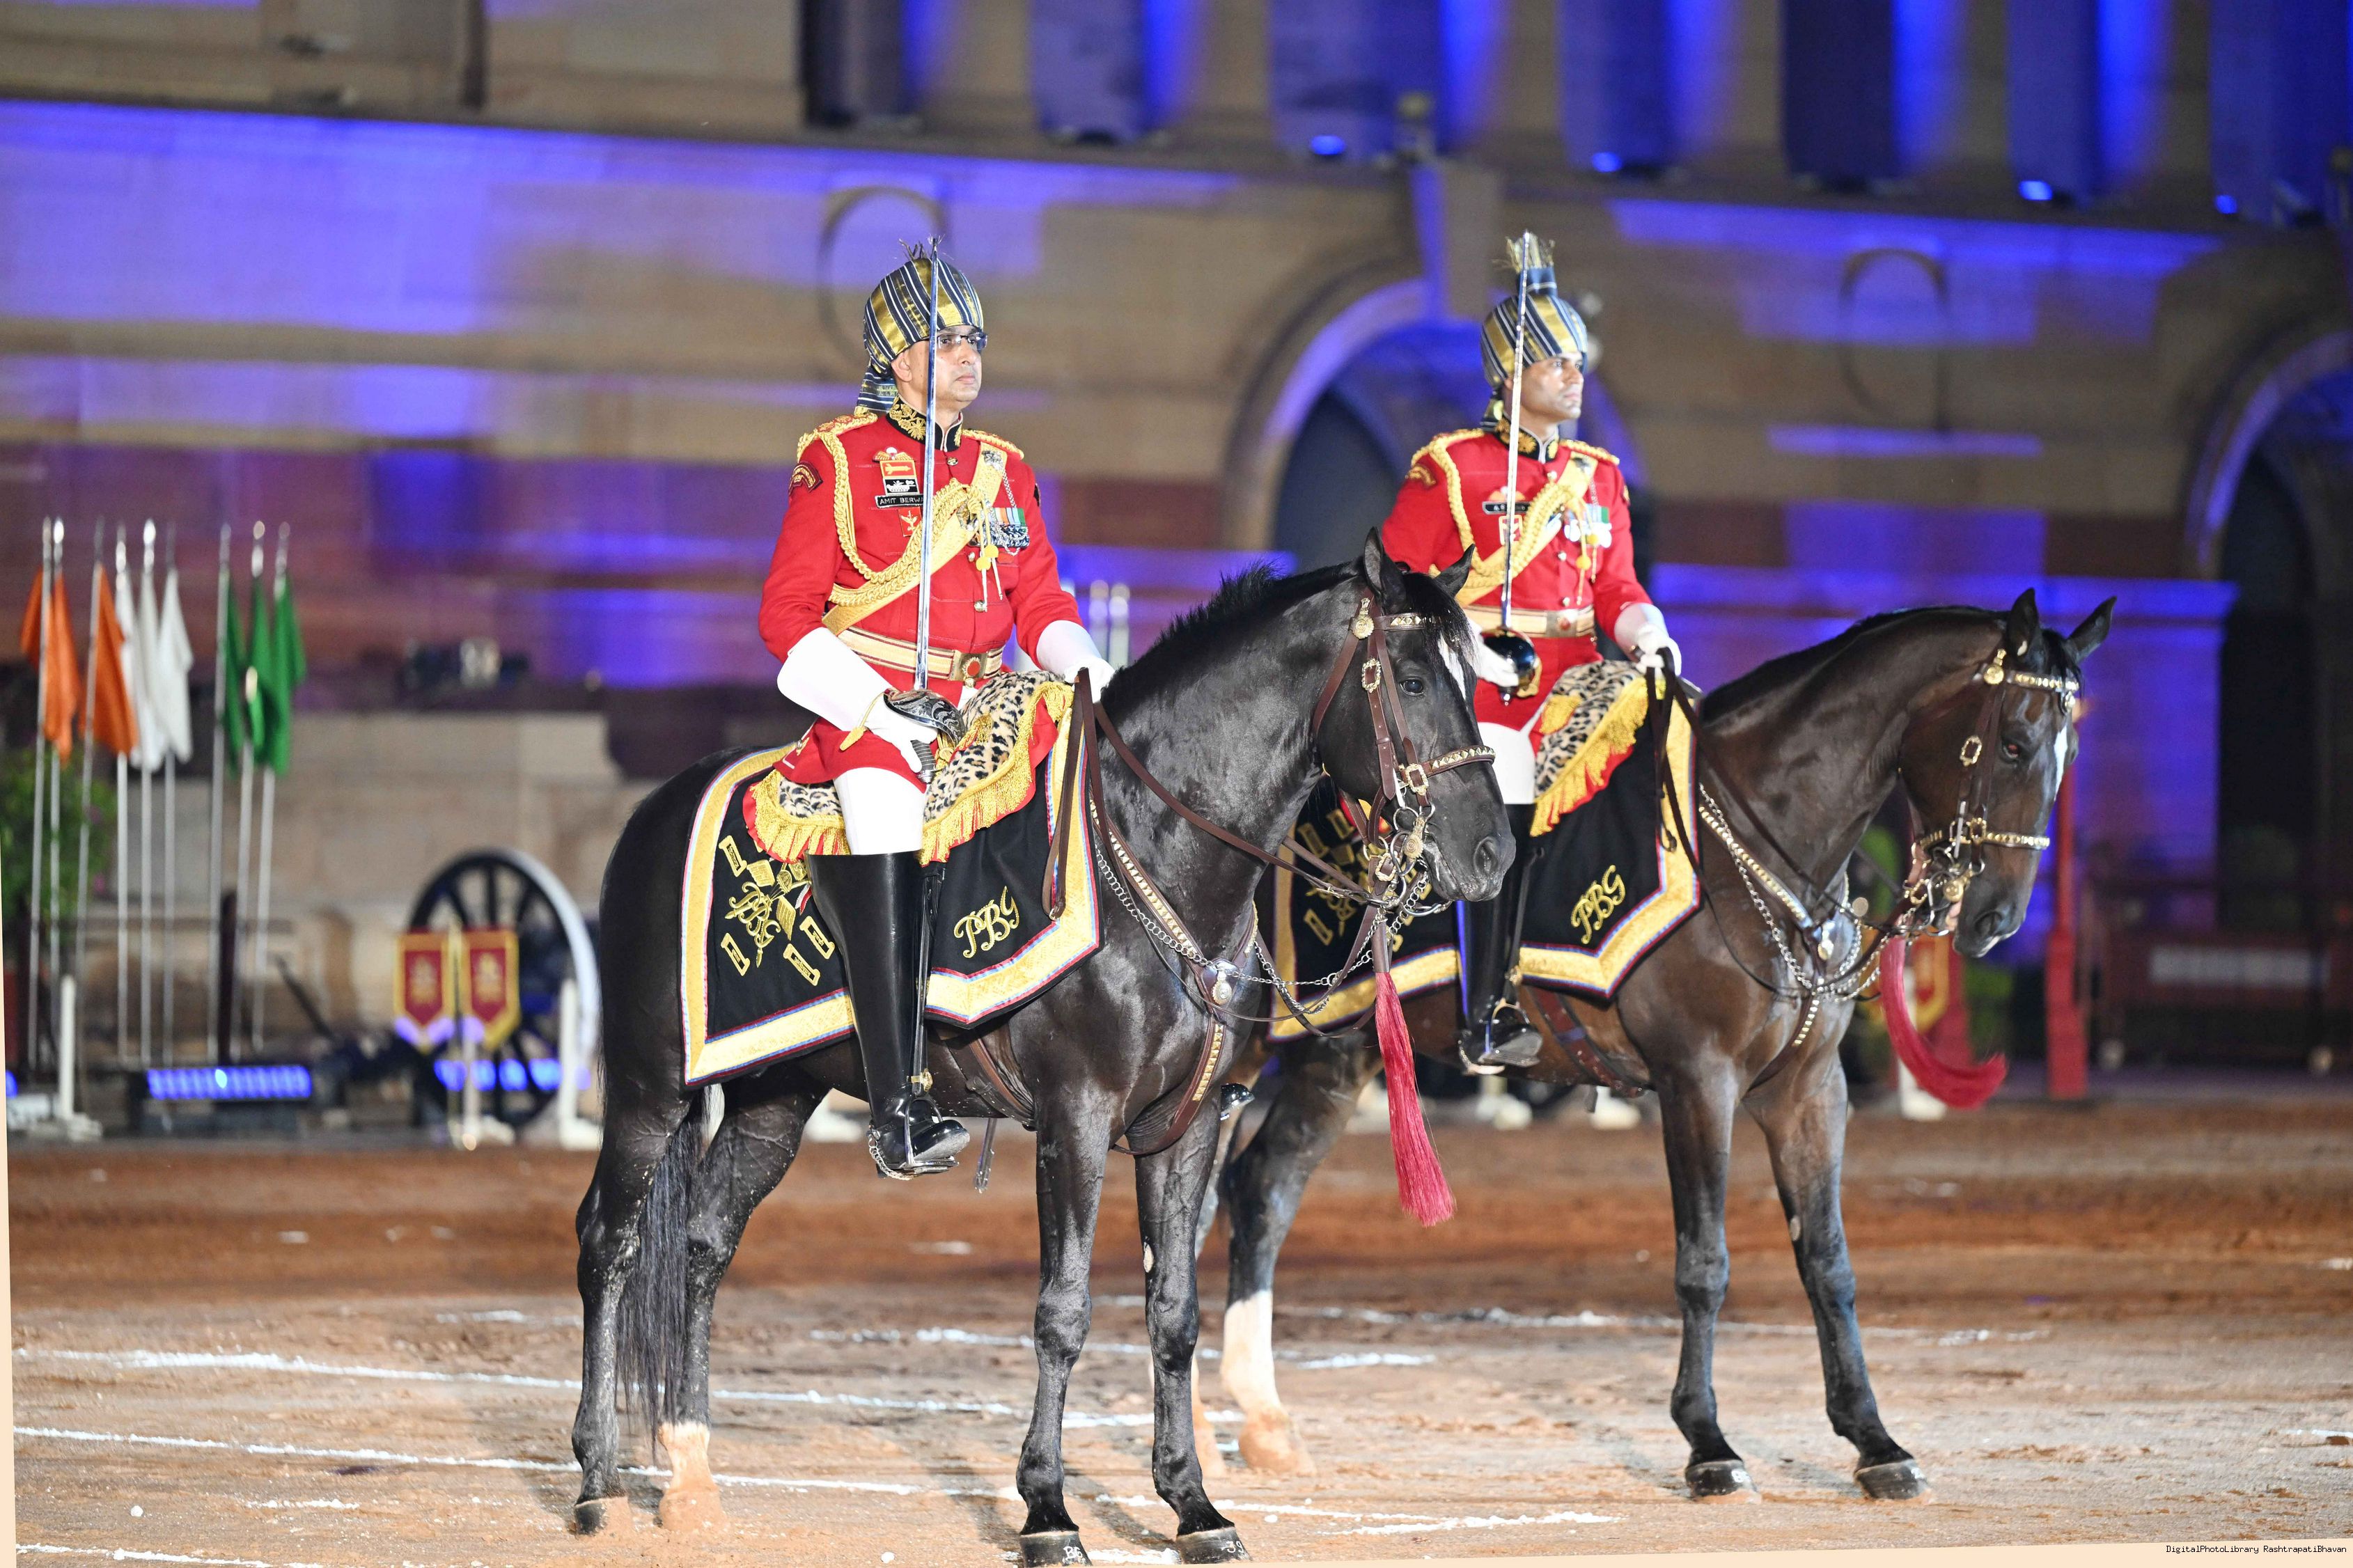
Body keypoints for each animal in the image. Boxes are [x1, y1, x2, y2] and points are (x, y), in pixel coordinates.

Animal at [566, 533, 1513, 1566]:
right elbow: (1063, 1312)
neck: (1152, 852)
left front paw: (1191, 1501)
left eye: (1479, 677)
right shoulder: (1077, 1115)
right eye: (1413, 677)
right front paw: (1047, 1508)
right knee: (609, 1243)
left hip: (776, 1095)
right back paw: (596, 1477)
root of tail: (655, 810)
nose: (1493, 853)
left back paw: (689, 1470)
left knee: (704, 1245)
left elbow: (1173, 1312)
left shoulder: (1188, 1124)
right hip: (652, 1084)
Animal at [1197, 590, 2112, 1503]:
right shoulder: (1697, 1079)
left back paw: (1265, 1419)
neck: (1750, 840)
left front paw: (1872, 1438)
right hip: (1237, 1050)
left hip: (1336, 1051)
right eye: (2012, 741)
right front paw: (1707, 1441)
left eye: (2069, 752)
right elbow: (1703, 1262)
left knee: (1263, 1189)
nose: (1995, 917)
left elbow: (1828, 1260)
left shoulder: (1809, 1089)